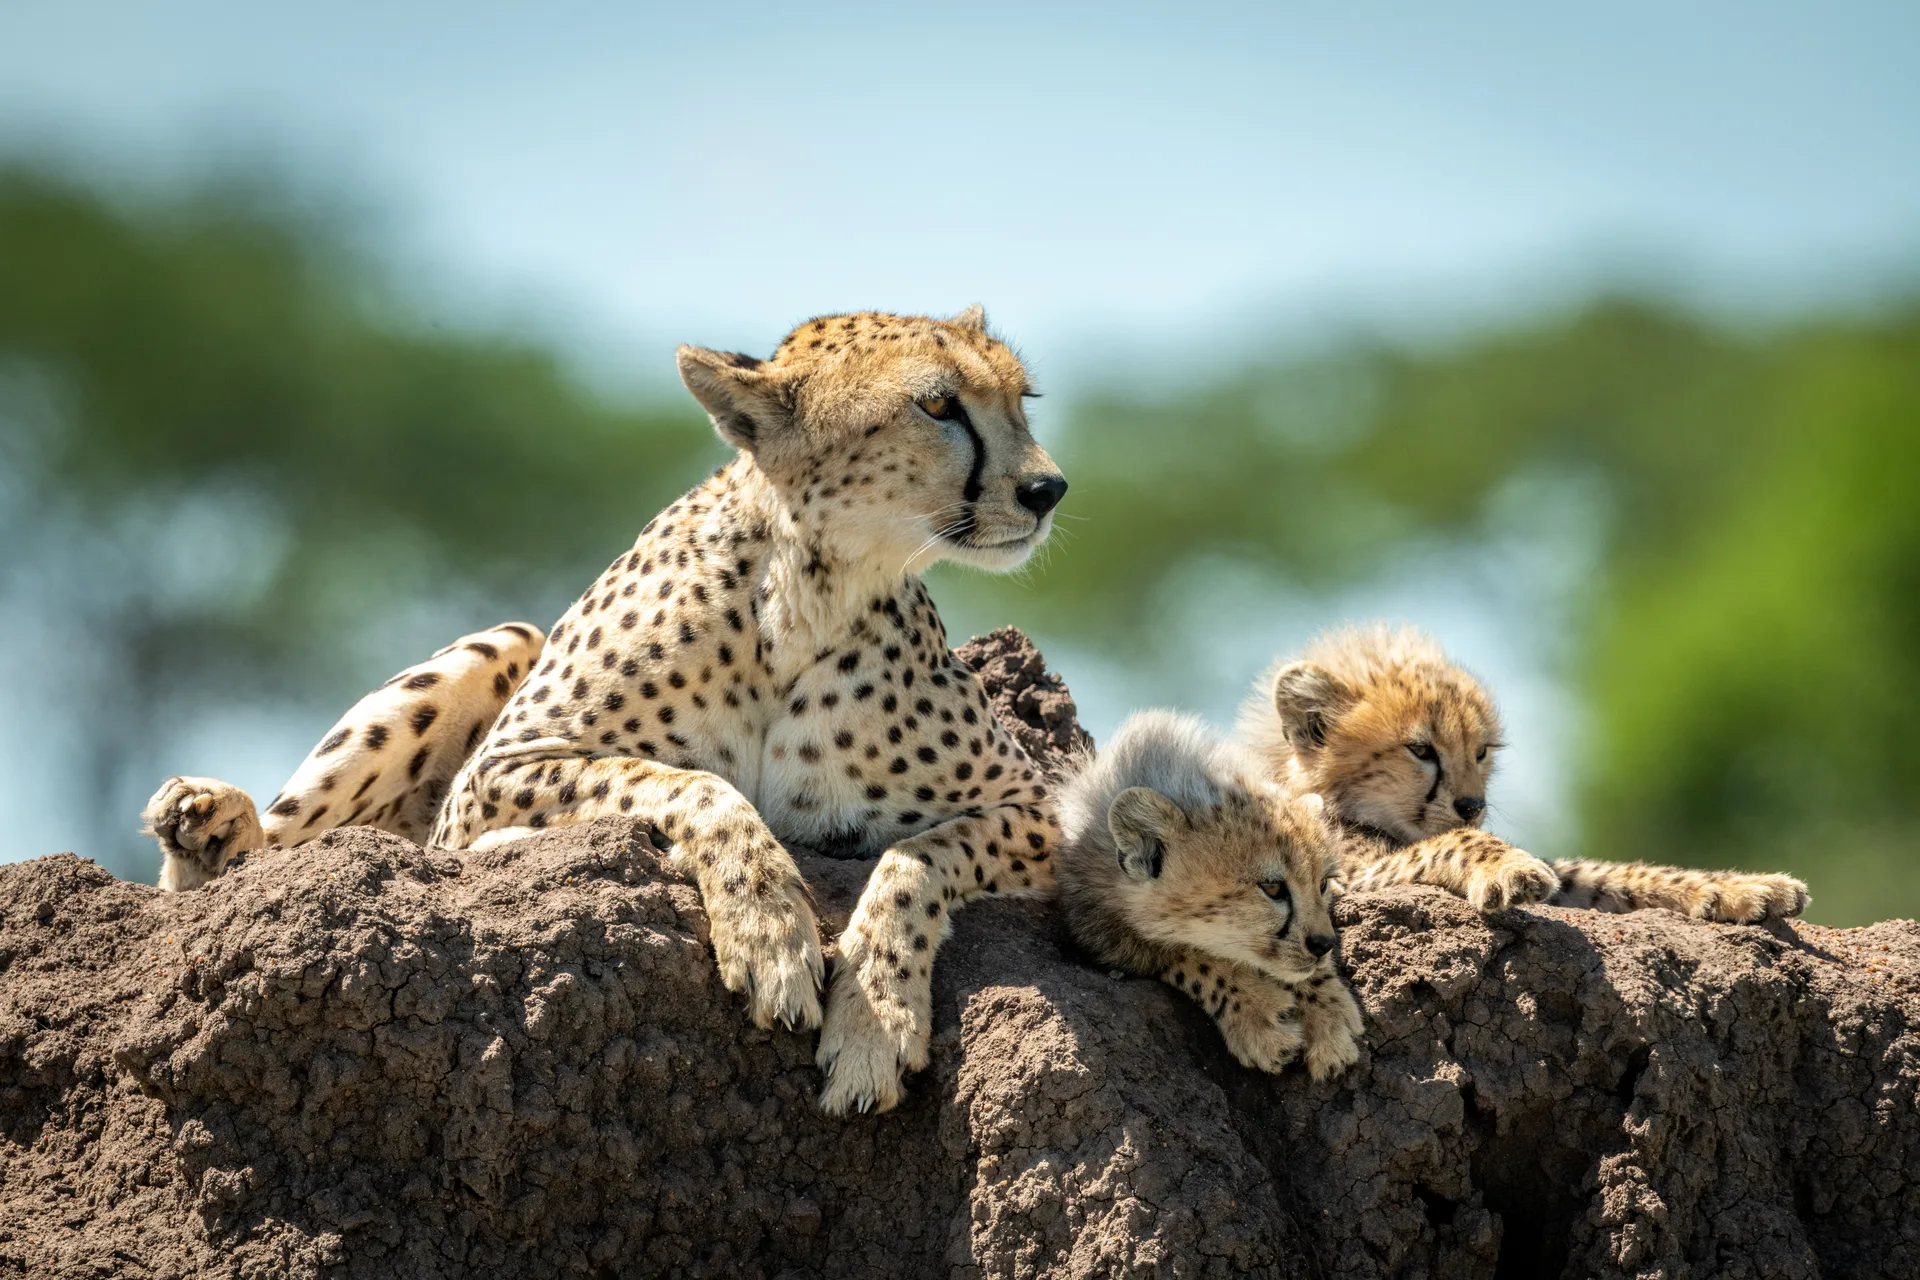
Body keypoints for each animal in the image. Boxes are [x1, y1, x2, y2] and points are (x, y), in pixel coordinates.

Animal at [141, 305, 1069, 1115]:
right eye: (938, 405)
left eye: (1021, 400)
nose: (1047, 488)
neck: (812, 589)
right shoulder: (490, 779)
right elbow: (687, 784)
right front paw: (770, 931)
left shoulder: (1044, 813)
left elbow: (918, 856)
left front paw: (875, 1022)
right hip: (503, 645)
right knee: (264, 854)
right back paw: (210, 822)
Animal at [1057, 709, 1363, 1080]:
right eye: (1272, 887)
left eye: (1322, 884)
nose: (1323, 944)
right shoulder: (1099, 925)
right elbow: (1190, 956)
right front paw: (1259, 1014)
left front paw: (1329, 1015)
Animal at [1234, 624, 1810, 923]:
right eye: (1420, 749)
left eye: (1482, 751)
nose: (1472, 805)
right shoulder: (1342, 878)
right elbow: (1456, 842)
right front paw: (1509, 868)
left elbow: (1608, 873)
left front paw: (1746, 887)